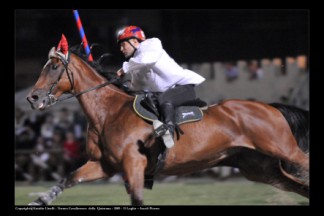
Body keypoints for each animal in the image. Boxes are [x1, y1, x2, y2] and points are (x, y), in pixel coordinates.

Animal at [25, 34, 308, 205]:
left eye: (53, 67)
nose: (32, 97)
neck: (108, 112)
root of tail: (270, 108)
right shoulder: (104, 165)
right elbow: (69, 178)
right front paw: (40, 199)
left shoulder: (133, 165)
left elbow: (137, 199)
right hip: (260, 167)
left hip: (284, 149)